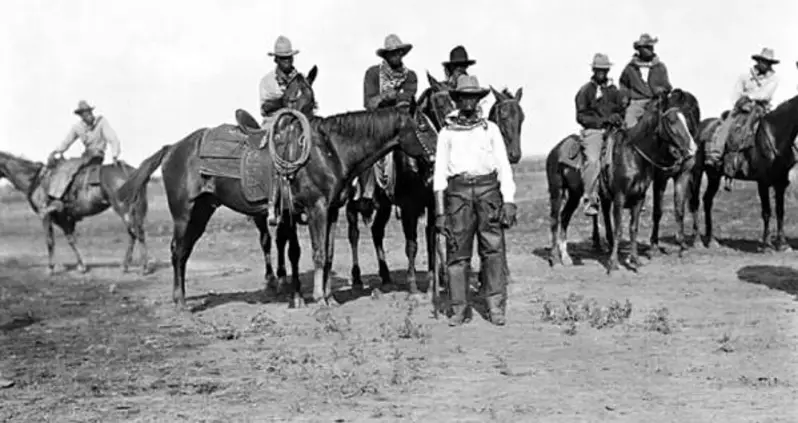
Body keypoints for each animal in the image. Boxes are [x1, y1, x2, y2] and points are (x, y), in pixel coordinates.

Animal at [0, 152, 149, 274]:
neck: (36, 181)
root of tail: (130, 171)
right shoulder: (64, 219)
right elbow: (71, 240)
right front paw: (82, 266)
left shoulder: (46, 216)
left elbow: (50, 241)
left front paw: (50, 268)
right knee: (134, 233)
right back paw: (126, 266)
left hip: (123, 208)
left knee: (135, 233)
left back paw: (143, 268)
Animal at [116, 68, 322, 310]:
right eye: (289, 101)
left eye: (312, 101)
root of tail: (172, 148)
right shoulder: (288, 211)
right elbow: (293, 250)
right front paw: (295, 295)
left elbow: (290, 248)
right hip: (183, 214)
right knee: (177, 250)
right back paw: (180, 301)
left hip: (201, 212)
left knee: (184, 251)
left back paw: (180, 297)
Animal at [342, 72, 524, 298]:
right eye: (439, 101)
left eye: (521, 118)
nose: (514, 155)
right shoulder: (409, 207)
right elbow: (412, 244)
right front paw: (413, 287)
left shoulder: (432, 204)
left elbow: (431, 240)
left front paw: (432, 283)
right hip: (354, 203)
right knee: (353, 233)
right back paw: (357, 279)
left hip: (384, 206)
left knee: (377, 231)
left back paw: (386, 277)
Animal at [548, 94, 696, 272]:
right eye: (672, 121)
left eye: (687, 119)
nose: (692, 149)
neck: (633, 155)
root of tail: (555, 150)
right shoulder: (620, 197)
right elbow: (618, 229)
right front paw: (613, 263)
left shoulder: (639, 198)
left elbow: (634, 228)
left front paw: (635, 260)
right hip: (557, 191)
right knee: (555, 220)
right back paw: (554, 258)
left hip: (574, 194)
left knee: (564, 217)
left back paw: (566, 257)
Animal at [692, 93, 798, 252]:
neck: (776, 135)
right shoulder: (763, 182)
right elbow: (766, 212)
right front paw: (766, 244)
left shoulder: (781, 183)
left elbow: (780, 211)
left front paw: (783, 244)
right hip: (697, 173)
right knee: (695, 201)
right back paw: (698, 240)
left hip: (714, 176)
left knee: (707, 200)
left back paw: (711, 240)